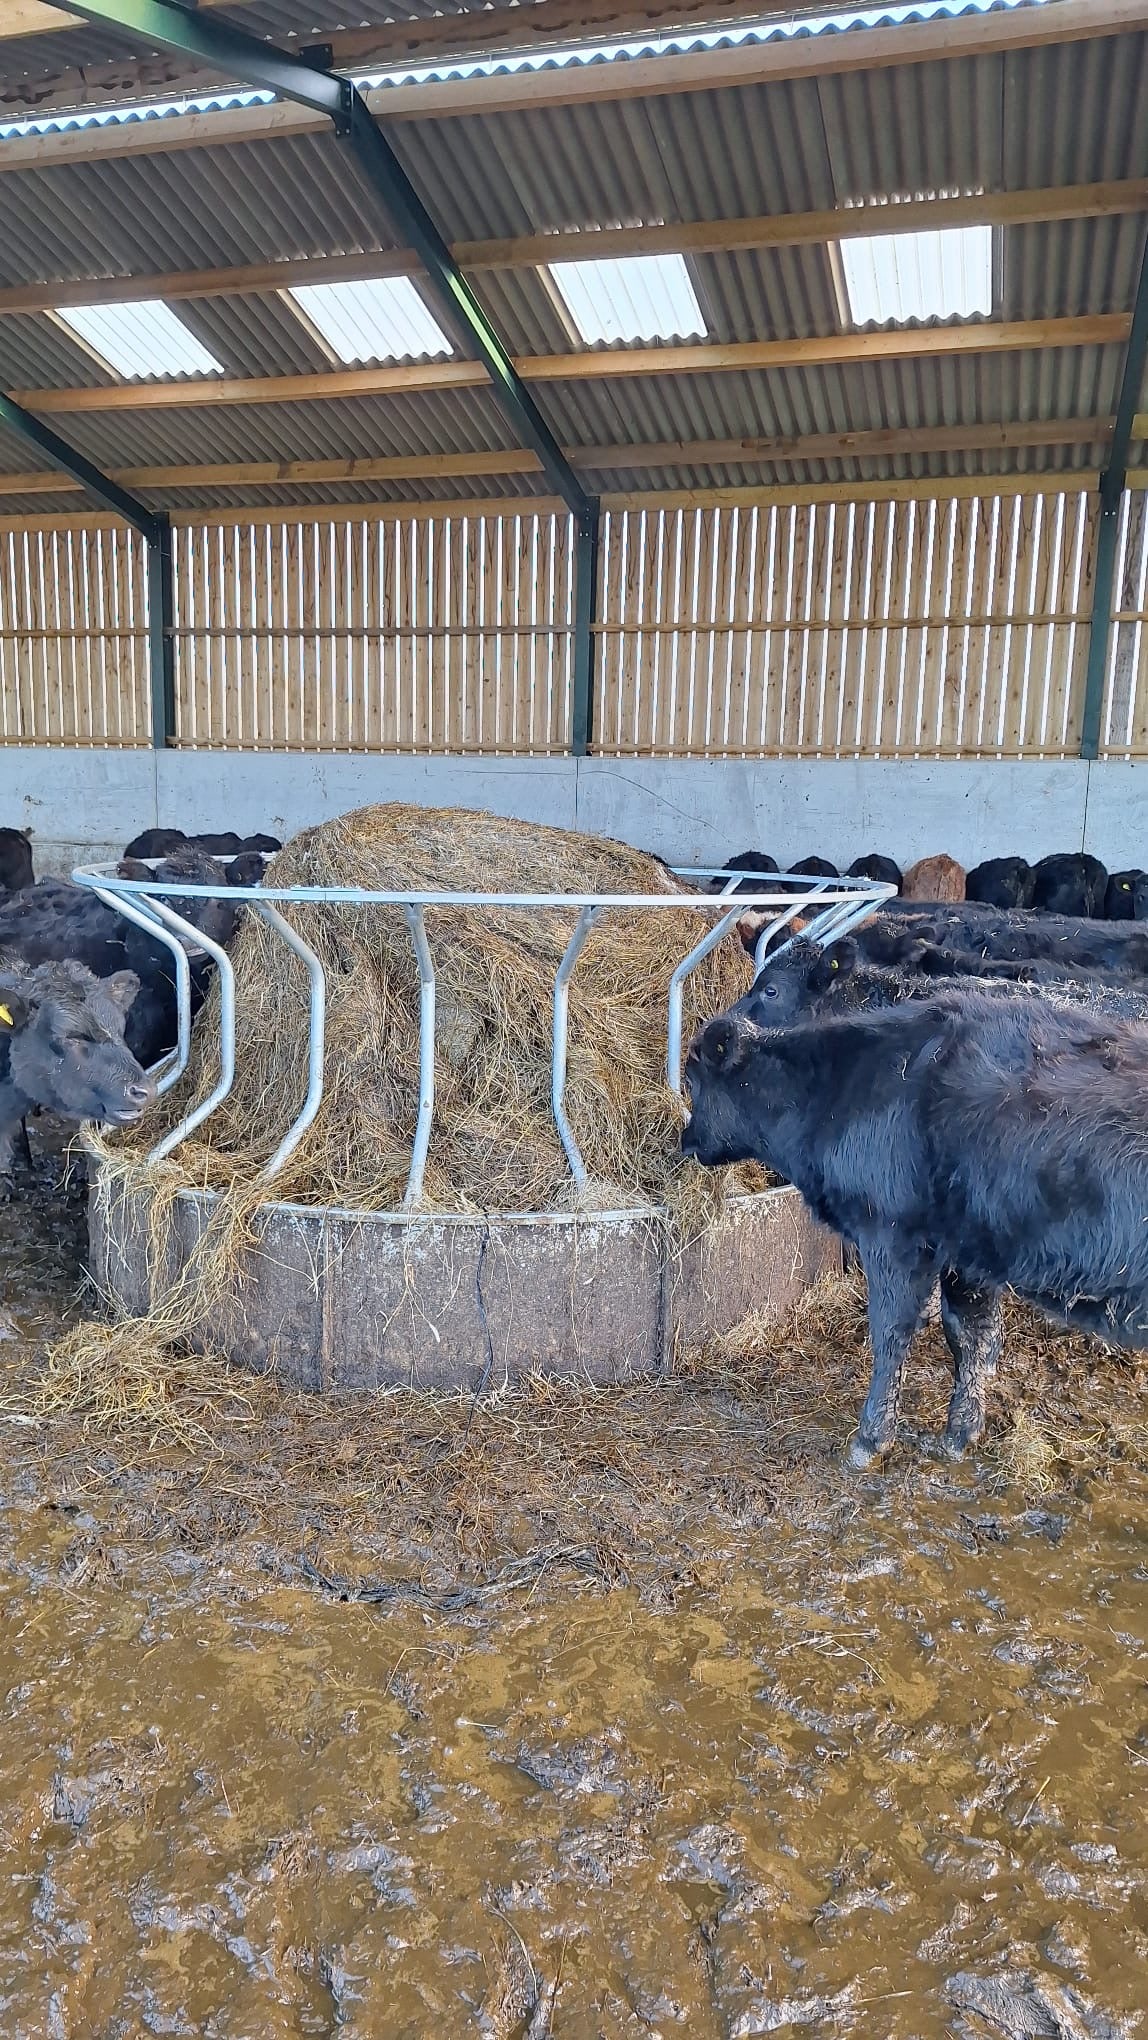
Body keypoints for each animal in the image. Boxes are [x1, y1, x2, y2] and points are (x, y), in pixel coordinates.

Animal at [682, 993, 1148, 1467]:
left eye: (693, 1079)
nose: (685, 1140)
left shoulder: (891, 1237)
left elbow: (891, 1333)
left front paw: (871, 1439)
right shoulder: (967, 1252)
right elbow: (971, 1335)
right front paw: (960, 1434)